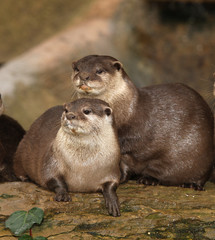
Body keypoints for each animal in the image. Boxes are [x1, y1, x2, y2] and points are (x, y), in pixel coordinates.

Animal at [71, 54, 214, 191]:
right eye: (77, 69)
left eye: (99, 70)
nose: (83, 76)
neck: (125, 111)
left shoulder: (130, 138)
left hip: (203, 159)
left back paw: (190, 184)